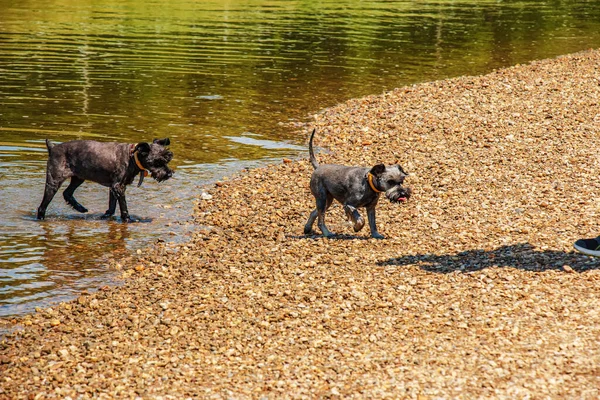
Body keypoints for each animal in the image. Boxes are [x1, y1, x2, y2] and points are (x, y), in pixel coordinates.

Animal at [37, 138, 173, 222]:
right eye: (158, 161)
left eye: (168, 159)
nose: (169, 173)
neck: (132, 157)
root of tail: (52, 148)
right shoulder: (118, 187)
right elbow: (123, 206)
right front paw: (128, 219)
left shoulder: (114, 187)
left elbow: (112, 205)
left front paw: (106, 215)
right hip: (54, 182)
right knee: (42, 206)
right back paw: (41, 218)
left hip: (79, 178)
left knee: (67, 193)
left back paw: (80, 208)